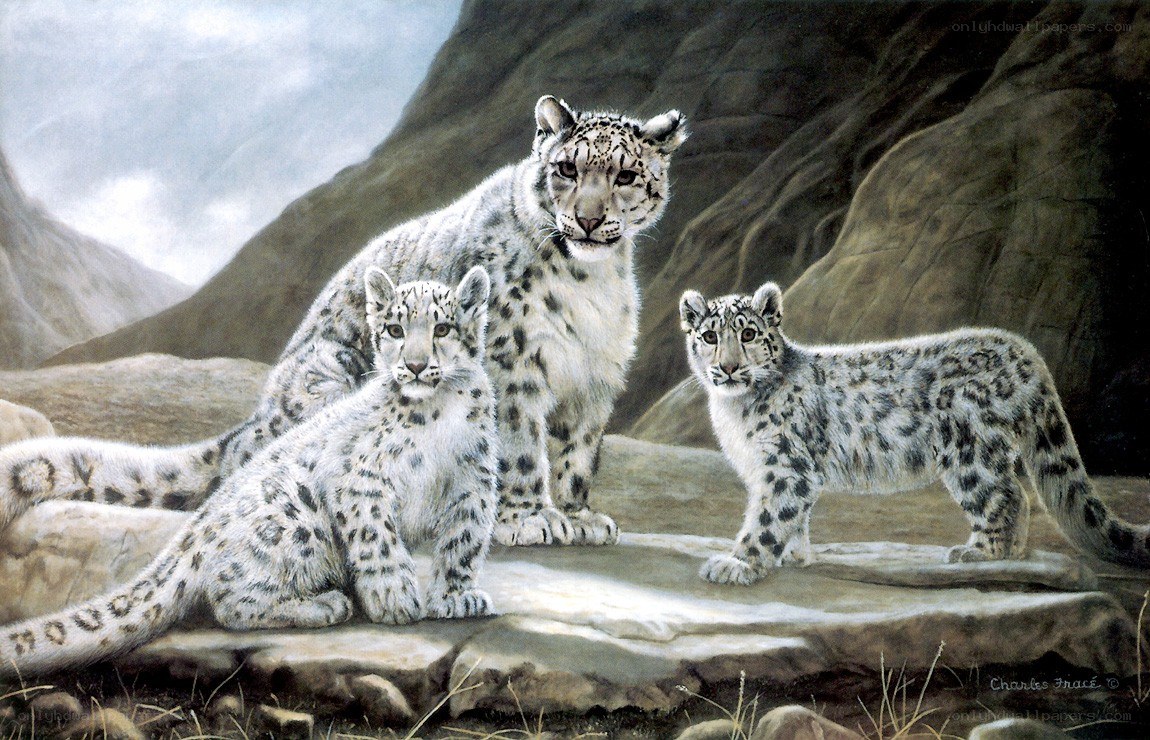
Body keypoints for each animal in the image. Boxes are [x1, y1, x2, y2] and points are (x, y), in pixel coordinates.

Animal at [0, 95, 687, 548]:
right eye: (567, 169)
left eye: (626, 174)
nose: (590, 219)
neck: (590, 283)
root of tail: (252, 422)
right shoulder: (513, 366)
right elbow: (521, 447)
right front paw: (529, 518)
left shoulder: (594, 378)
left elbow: (577, 453)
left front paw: (580, 516)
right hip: (331, 380)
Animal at [0, 268, 498, 677]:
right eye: (395, 328)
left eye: (442, 327)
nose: (414, 365)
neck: (441, 413)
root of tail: (198, 527)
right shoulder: (361, 479)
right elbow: (377, 538)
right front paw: (394, 596)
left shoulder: (474, 481)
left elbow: (464, 538)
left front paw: (457, 597)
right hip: (297, 518)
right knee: (229, 598)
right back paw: (324, 605)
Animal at [679, 280, 1150, 586]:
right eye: (709, 336)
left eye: (748, 333)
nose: (729, 367)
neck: (734, 411)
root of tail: (1021, 349)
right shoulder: (772, 468)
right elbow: (795, 517)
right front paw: (795, 556)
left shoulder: (786, 465)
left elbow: (768, 516)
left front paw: (738, 563)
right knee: (1018, 494)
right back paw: (1009, 552)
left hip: (971, 451)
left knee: (1007, 494)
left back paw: (981, 553)